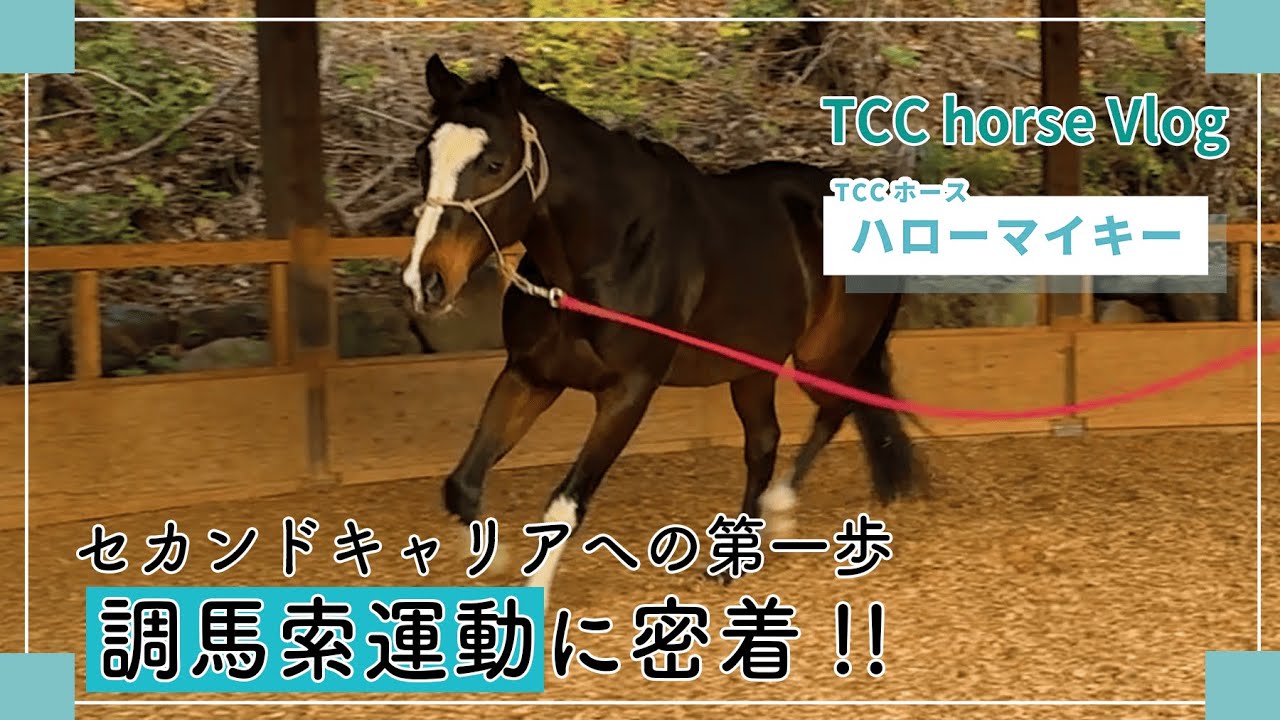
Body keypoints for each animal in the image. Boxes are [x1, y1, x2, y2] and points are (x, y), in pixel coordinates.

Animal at [401, 53, 925, 595]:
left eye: (493, 164)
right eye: (422, 159)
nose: (425, 281)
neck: (610, 253)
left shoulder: (628, 392)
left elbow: (567, 501)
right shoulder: (530, 375)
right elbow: (462, 484)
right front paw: (496, 559)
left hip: (821, 356)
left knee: (836, 409)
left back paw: (780, 509)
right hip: (752, 367)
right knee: (765, 441)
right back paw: (737, 554)